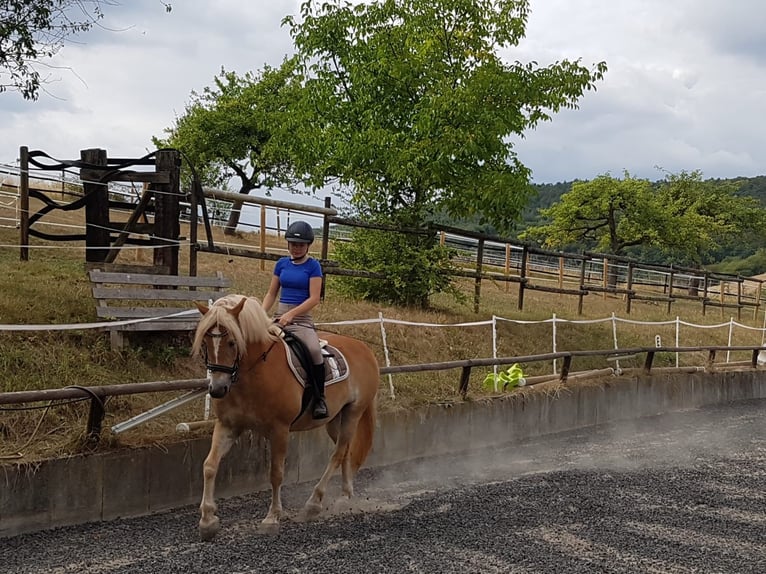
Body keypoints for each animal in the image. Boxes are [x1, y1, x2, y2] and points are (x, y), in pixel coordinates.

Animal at [192, 294, 380, 544]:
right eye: (205, 342)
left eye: (232, 342)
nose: (217, 389)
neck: (255, 373)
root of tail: (364, 348)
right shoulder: (228, 426)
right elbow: (210, 466)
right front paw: (207, 521)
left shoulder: (279, 430)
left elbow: (276, 473)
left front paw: (272, 518)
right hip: (334, 420)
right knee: (346, 452)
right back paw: (345, 496)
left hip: (353, 413)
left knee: (338, 454)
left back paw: (314, 503)